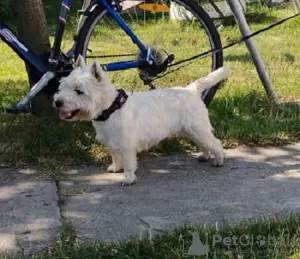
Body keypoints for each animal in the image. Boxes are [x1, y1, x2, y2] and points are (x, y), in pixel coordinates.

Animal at [53, 56, 230, 186]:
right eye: (62, 87)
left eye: (79, 91)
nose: (57, 102)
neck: (112, 108)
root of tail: (191, 90)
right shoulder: (112, 142)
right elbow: (115, 156)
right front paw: (115, 168)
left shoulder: (126, 144)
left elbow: (129, 162)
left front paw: (128, 178)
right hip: (191, 130)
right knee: (205, 144)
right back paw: (205, 155)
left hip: (198, 128)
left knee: (215, 143)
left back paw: (218, 160)